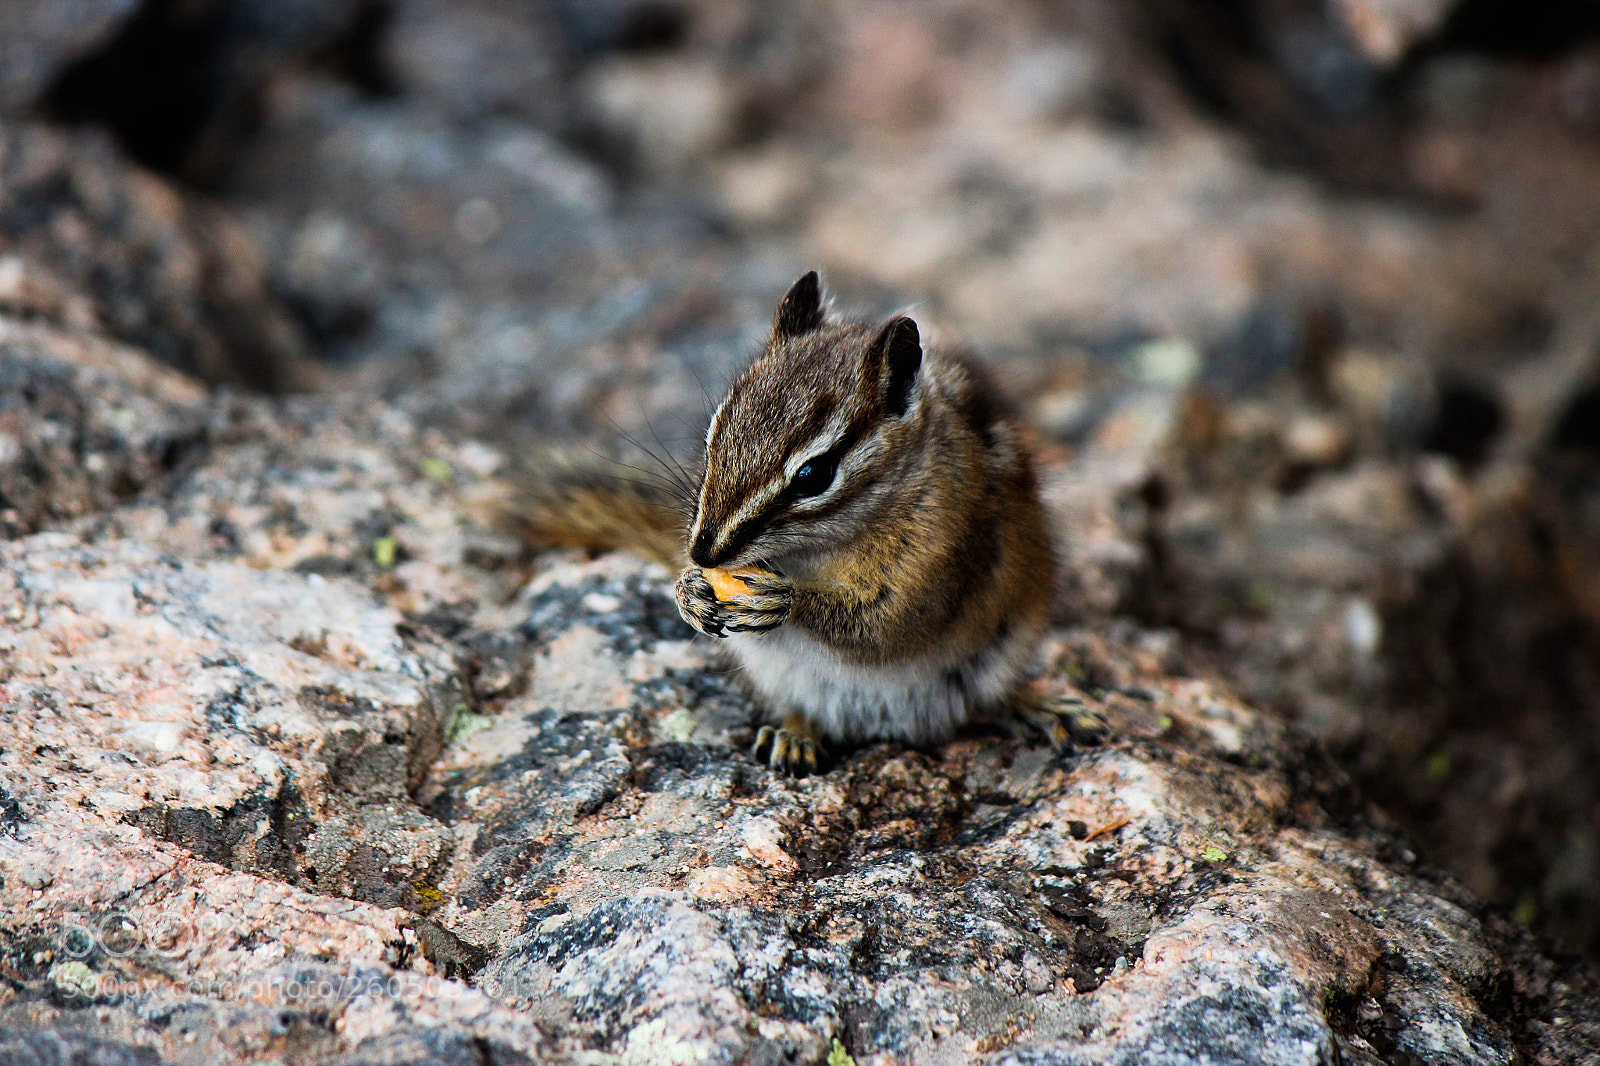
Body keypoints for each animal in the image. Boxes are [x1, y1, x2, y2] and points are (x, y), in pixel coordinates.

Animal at [516, 271, 1105, 775]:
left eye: (814, 475)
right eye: (712, 432)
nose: (704, 553)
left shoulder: (942, 554)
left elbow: (884, 626)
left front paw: (784, 600)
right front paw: (688, 592)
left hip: (1000, 654)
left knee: (991, 698)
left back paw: (1042, 706)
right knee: (802, 710)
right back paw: (794, 736)